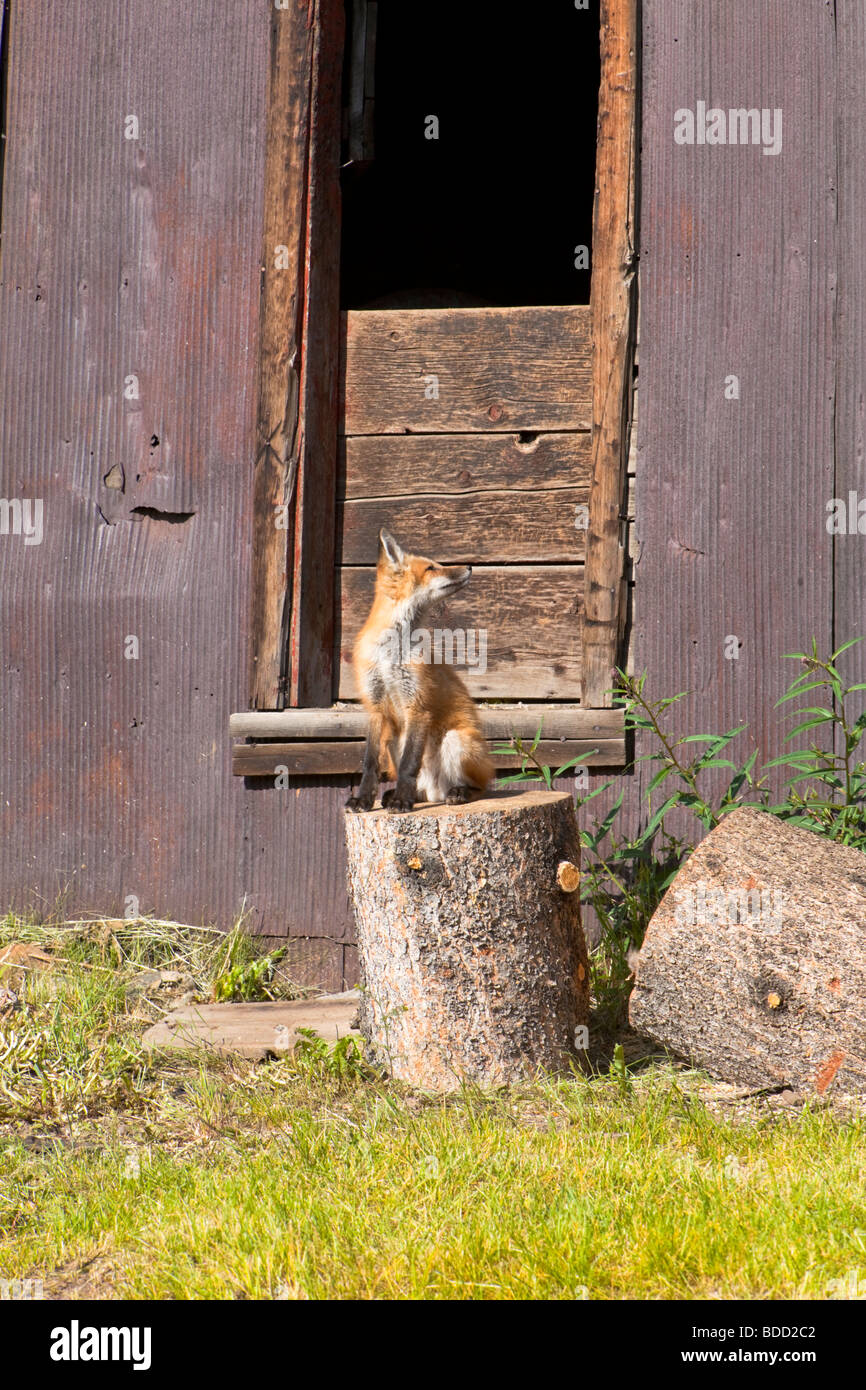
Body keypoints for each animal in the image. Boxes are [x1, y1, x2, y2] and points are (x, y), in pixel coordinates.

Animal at [346, 530, 494, 811]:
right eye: (431, 567)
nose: (470, 566)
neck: (390, 653)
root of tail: (437, 791)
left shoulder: (417, 705)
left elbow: (409, 765)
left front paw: (402, 801)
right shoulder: (375, 707)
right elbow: (370, 764)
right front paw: (363, 799)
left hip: (456, 739)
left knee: (483, 787)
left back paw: (458, 792)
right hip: (394, 738)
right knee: (421, 787)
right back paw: (408, 795)